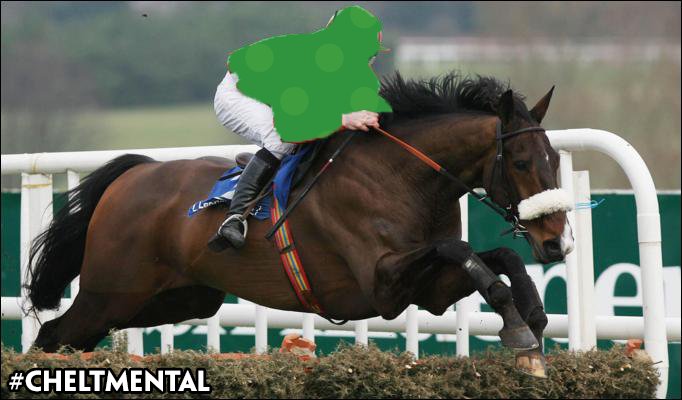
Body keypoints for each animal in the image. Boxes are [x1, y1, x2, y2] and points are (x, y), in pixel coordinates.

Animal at [25, 72, 572, 377]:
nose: (556, 243)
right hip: (110, 291)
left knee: (70, 337)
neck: (404, 176)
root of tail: (133, 173)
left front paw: (533, 320)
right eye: (522, 162)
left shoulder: (426, 290)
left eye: (554, 159)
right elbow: (464, 252)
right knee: (54, 333)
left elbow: (498, 257)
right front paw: (520, 329)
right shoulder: (381, 282)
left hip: (174, 298)